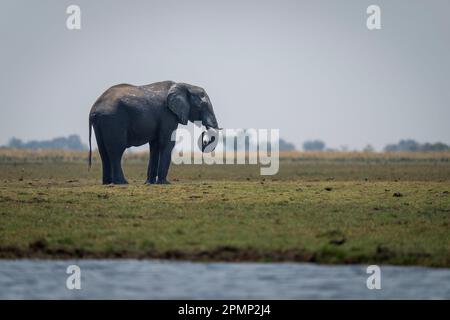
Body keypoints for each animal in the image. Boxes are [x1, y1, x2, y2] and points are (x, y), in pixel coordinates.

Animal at [87, 80, 220, 185]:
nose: (205, 139)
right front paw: (164, 183)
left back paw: (107, 183)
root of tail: (93, 110)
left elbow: (155, 146)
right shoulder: (168, 114)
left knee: (103, 152)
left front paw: (149, 183)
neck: (184, 85)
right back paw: (122, 183)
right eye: (203, 105)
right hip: (113, 120)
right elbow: (167, 143)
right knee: (116, 151)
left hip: (102, 123)